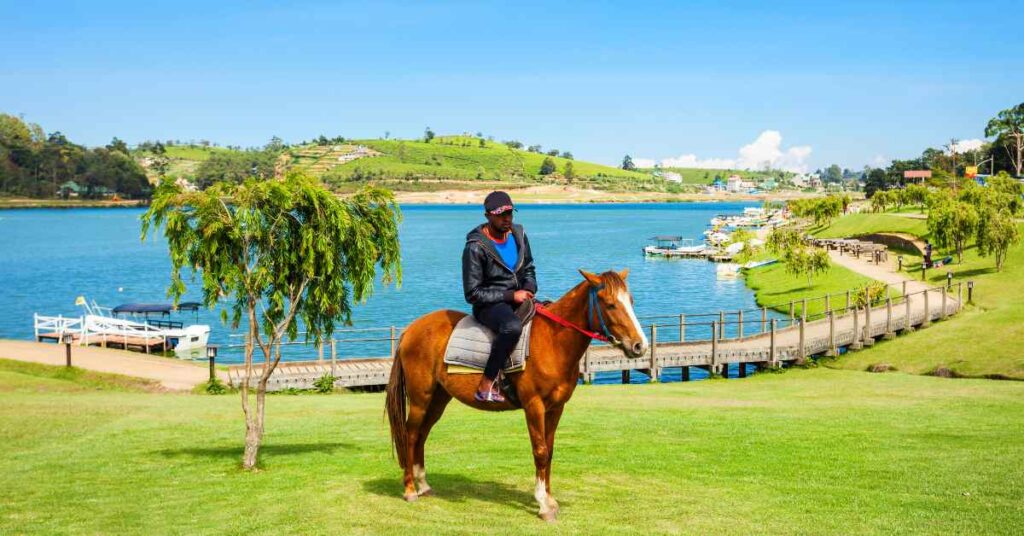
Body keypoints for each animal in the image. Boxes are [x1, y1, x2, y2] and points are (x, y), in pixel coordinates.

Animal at [385, 270, 647, 522]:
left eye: (631, 301)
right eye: (610, 304)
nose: (639, 346)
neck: (552, 341)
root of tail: (411, 329)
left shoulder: (556, 408)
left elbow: (550, 451)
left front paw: (550, 499)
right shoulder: (534, 406)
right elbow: (540, 451)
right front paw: (543, 505)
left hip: (438, 399)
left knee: (422, 434)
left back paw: (423, 484)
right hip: (420, 398)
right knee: (410, 434)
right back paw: (409, 489)